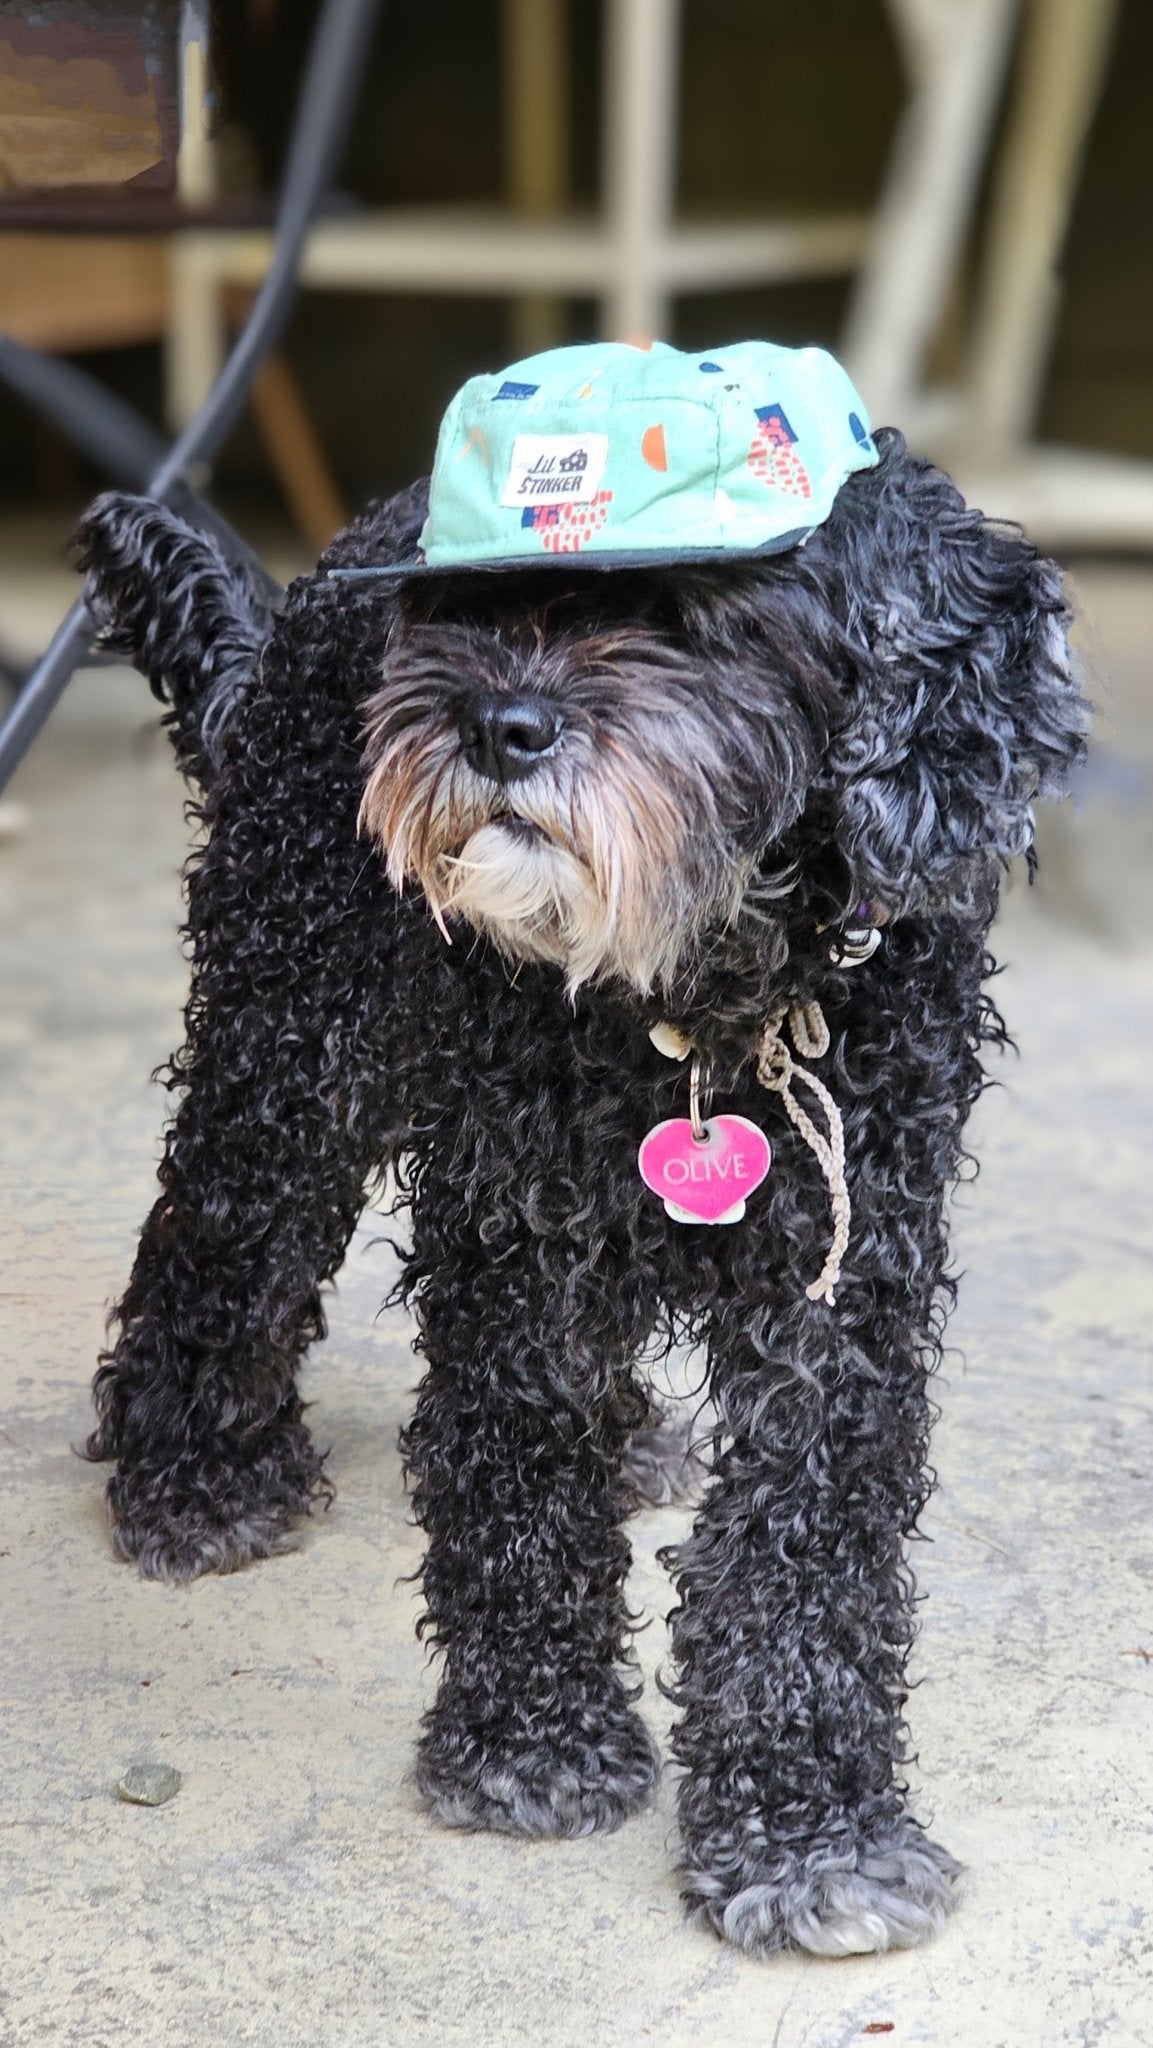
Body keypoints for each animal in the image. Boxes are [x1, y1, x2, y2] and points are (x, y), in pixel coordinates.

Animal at [78, 440, 1089, 1957]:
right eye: (467, 608)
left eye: (698, 613)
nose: (499, 725)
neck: (700, 996)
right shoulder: (513, 1233)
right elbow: (516, 1476)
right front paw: (531, 1742)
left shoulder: (846, 1277)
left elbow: (808, 1547)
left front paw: (810, 1833)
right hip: (294, 1041)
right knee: (222, 1237)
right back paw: (197, 1475)